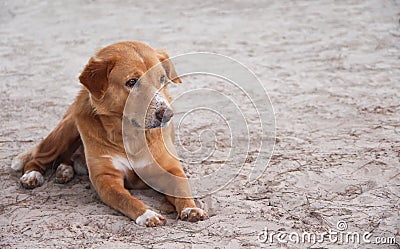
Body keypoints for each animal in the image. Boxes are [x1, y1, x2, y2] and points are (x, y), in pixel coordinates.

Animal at [10, 41, 208, 227]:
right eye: (132, 82)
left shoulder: (170, 169)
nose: (167, 114)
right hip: (67, 129)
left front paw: (191, 209)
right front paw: (147, 214)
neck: (129, 136)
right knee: (38, 157)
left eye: (161, 79)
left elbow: (182, 190)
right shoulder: (106, 178)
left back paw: (64, 170)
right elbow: (126, 199)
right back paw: (32, 175)